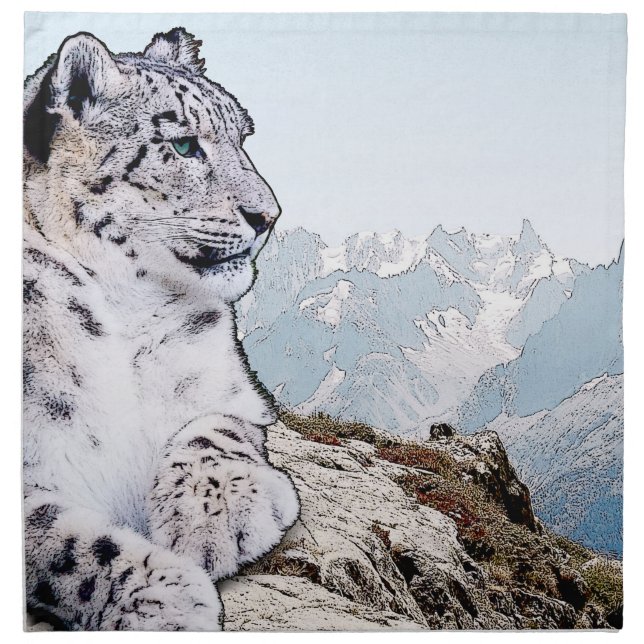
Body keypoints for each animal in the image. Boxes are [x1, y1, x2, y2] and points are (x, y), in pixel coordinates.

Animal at [22, 28, 299, 631]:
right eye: (183, 145)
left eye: (241, 136)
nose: (268, 216)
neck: (126, 311)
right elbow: (56, 539)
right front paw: (163, 600)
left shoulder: (231, 389)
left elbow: (216, 431)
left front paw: (215, 517)